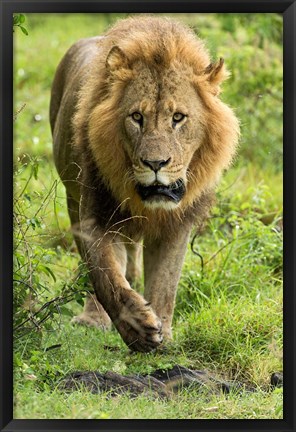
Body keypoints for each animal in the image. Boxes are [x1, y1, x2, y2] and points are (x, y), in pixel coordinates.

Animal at [50, 17, 240, 354]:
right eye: (136, 117)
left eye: (178, 117)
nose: (155, 164)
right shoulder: (96, 215)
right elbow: (105, 275)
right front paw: (138, 329)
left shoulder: (177, 223)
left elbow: (165, 283)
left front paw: (164, 335)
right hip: (72, 197)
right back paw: (93, 319)